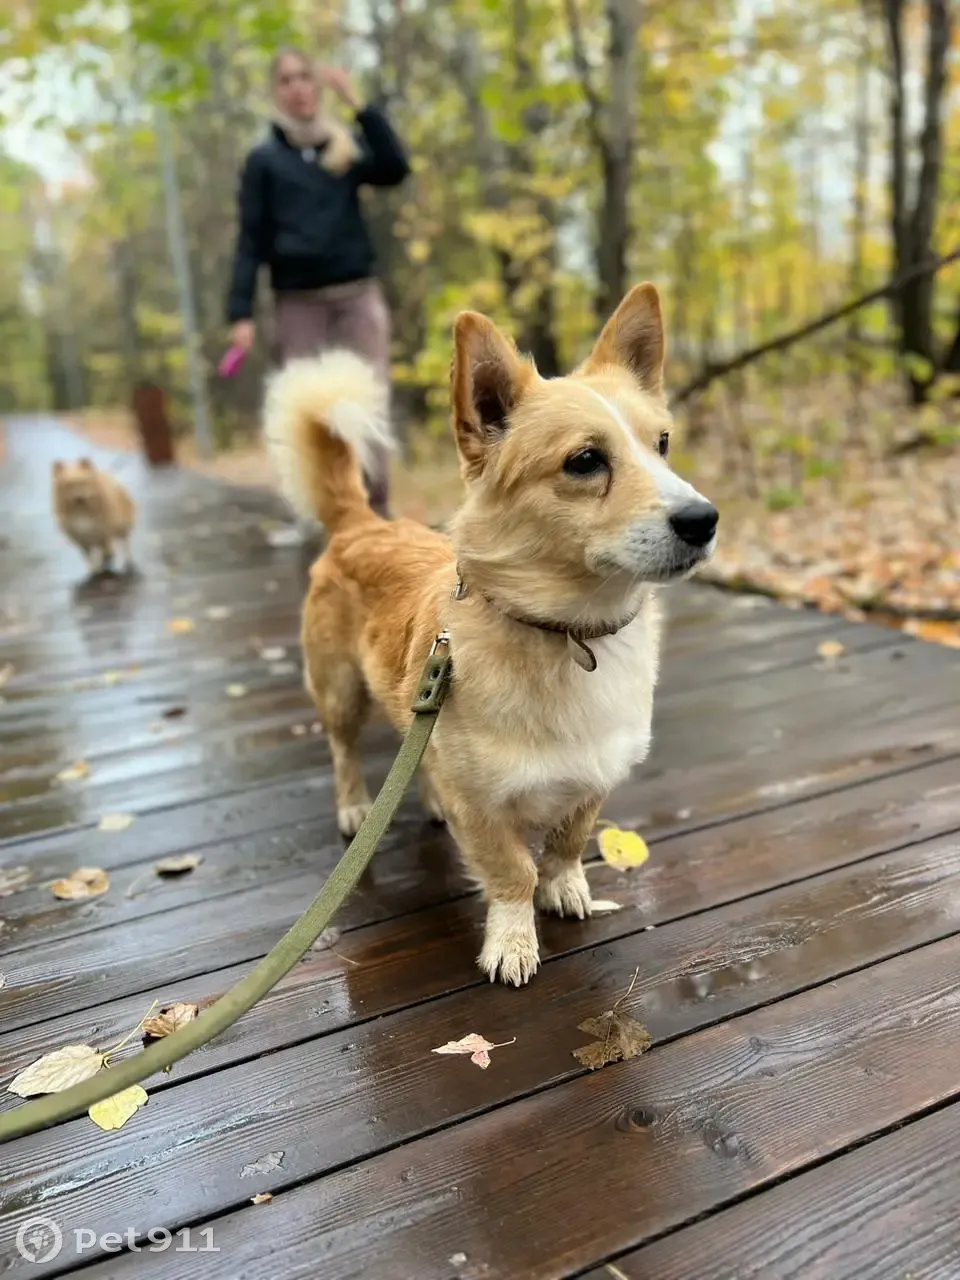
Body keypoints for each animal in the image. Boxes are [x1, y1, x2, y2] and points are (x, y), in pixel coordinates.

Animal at [267, 285, 716, 983]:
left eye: (664, 443)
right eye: (586, 461)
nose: (706, 520)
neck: (569, 630)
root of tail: (360, 521)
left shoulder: (595, 778)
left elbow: (566, 843)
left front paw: (567, 888)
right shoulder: (480, 808)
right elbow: (512, 872)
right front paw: (512, 942)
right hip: (340, 692)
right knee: (343, 751)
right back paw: (353, 807)